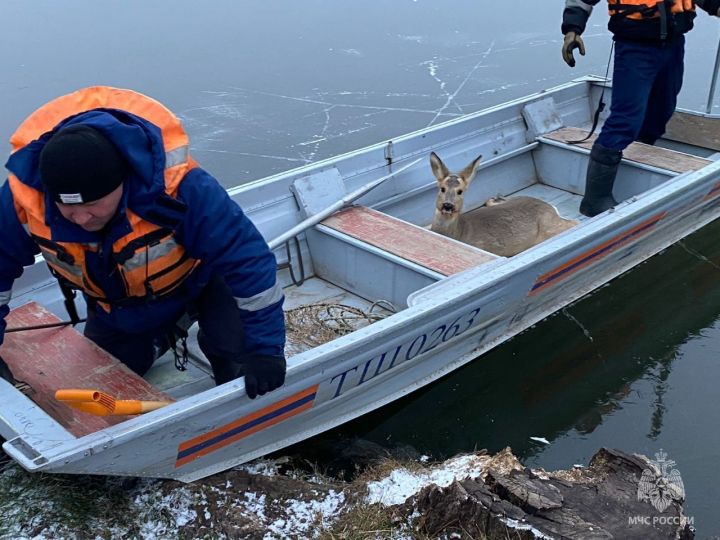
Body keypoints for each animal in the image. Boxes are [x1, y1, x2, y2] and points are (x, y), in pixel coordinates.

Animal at [428, 150, 580, 255]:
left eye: (460, 191)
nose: (448, 205)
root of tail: (551, 207)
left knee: (574, 222)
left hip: (548, 227)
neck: (459, 234)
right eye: (442, 188)